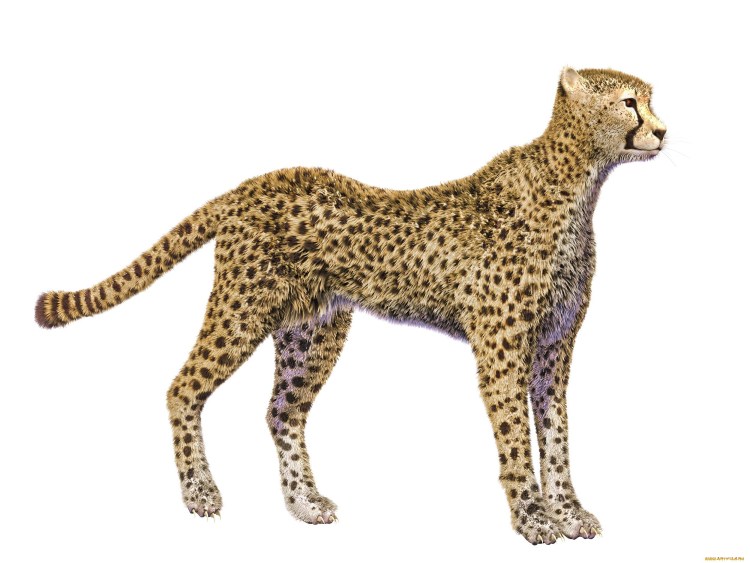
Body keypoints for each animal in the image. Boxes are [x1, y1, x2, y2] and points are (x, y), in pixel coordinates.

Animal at [35, 67, 666, 544]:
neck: (581, 182)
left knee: (281, 411)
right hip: (242, 310)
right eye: (629, 102)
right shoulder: (501, 347)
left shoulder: (554, 348)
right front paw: (534, 519)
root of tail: (250, 184)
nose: (662, 130)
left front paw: (570, 511)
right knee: (183, 388)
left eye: (651, 99)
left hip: (312, 331)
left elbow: (557, 433)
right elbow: (517, 436)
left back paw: (304, 503)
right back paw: (201, 493)